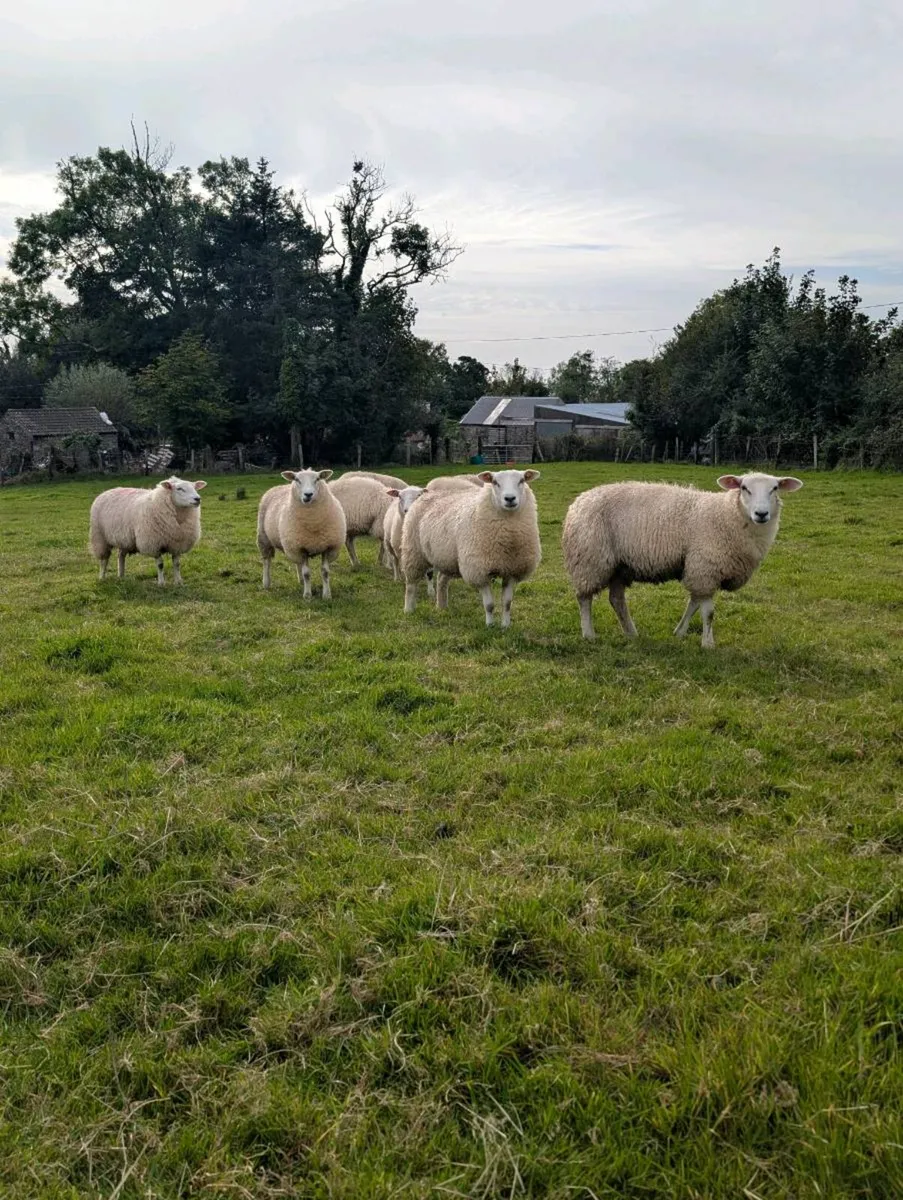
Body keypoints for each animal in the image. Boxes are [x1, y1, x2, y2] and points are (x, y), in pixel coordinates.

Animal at [257, 468, 346, 599]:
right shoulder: (301, 548)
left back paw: (301, 582)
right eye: (297, 479)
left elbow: (325, 572)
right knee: (266, 561)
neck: (313, 522)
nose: (308, 494)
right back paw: (266, 583)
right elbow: (307, 573)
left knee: (297, 563)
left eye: (317, 479)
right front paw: (307, 595)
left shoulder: (327, 546)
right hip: (264, 537)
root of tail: (279, 486)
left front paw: (327, 595)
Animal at [401, 469, 541, 628]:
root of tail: (426, 495)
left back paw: (442, 606)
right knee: (411, 584)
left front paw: (505, 626)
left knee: (441, 580)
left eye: (522, 480)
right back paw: (409, 610)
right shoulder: (479, 571)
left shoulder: (512, 570)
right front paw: (490, 626)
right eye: (495, 482)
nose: (510, 498)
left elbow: (507, 603)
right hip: (413, 551)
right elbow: (489, 605)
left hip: (446, 558)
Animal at [561, 472, 804, 648]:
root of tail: (579, 501)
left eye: (775, 488)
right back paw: (589, 634)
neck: (727, 515)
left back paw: (631, 633)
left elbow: (693, 604)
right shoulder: (705, 567)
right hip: (590, 559)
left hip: (619, 566)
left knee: (616, 600)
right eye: (744, 488)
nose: (761, 514)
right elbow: (708, 612)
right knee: (584, 598)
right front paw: (708, 643)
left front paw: (680, 632)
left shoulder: (698, 569)